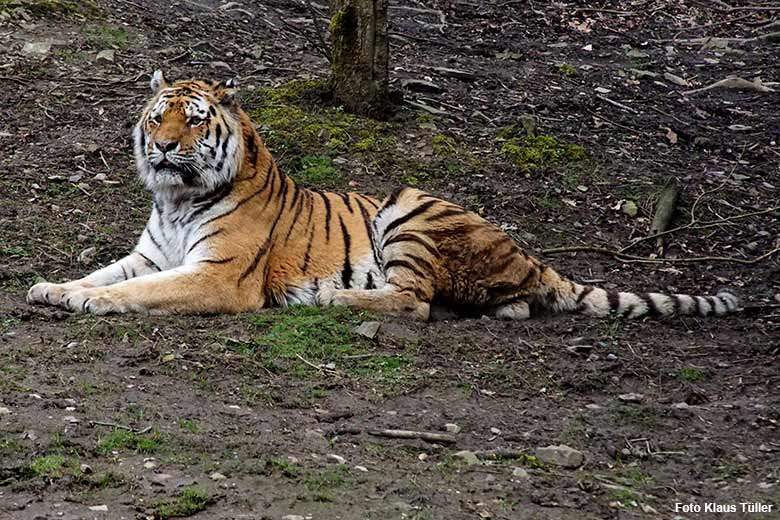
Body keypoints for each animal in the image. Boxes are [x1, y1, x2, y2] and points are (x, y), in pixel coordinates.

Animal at [27, 69, 740, 320]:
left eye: (196, 120)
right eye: (158, 118)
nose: (165, 147)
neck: (176, 200)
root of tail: (532, 257)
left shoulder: (216, 275)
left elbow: (138, 291)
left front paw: (88, 302)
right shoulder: (149, 255)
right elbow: (108, 273)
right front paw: (53, 288)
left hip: (409, 207)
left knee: (416, 302)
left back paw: (334, 299)